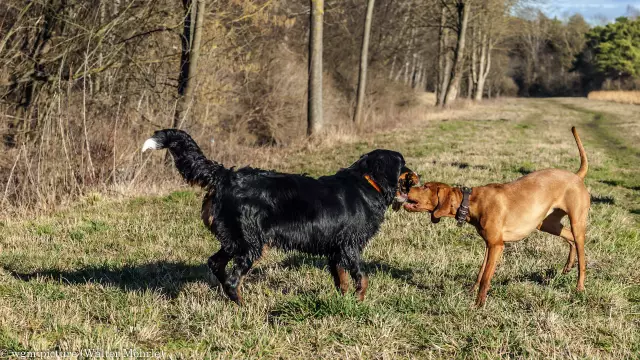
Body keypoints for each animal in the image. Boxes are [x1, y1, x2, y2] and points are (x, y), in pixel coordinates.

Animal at [142, 129, 418, 304]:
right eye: (402, 164)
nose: (418, 175)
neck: (367, 183)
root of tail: (226, 176)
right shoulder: (350, 246)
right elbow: (362, 278)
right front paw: (360, 302)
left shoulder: (336, 250)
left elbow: (342, 280)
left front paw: (345, 302)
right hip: (251, 244)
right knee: (232, 278)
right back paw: (243, 307)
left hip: (235, 241)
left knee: (216, 264)